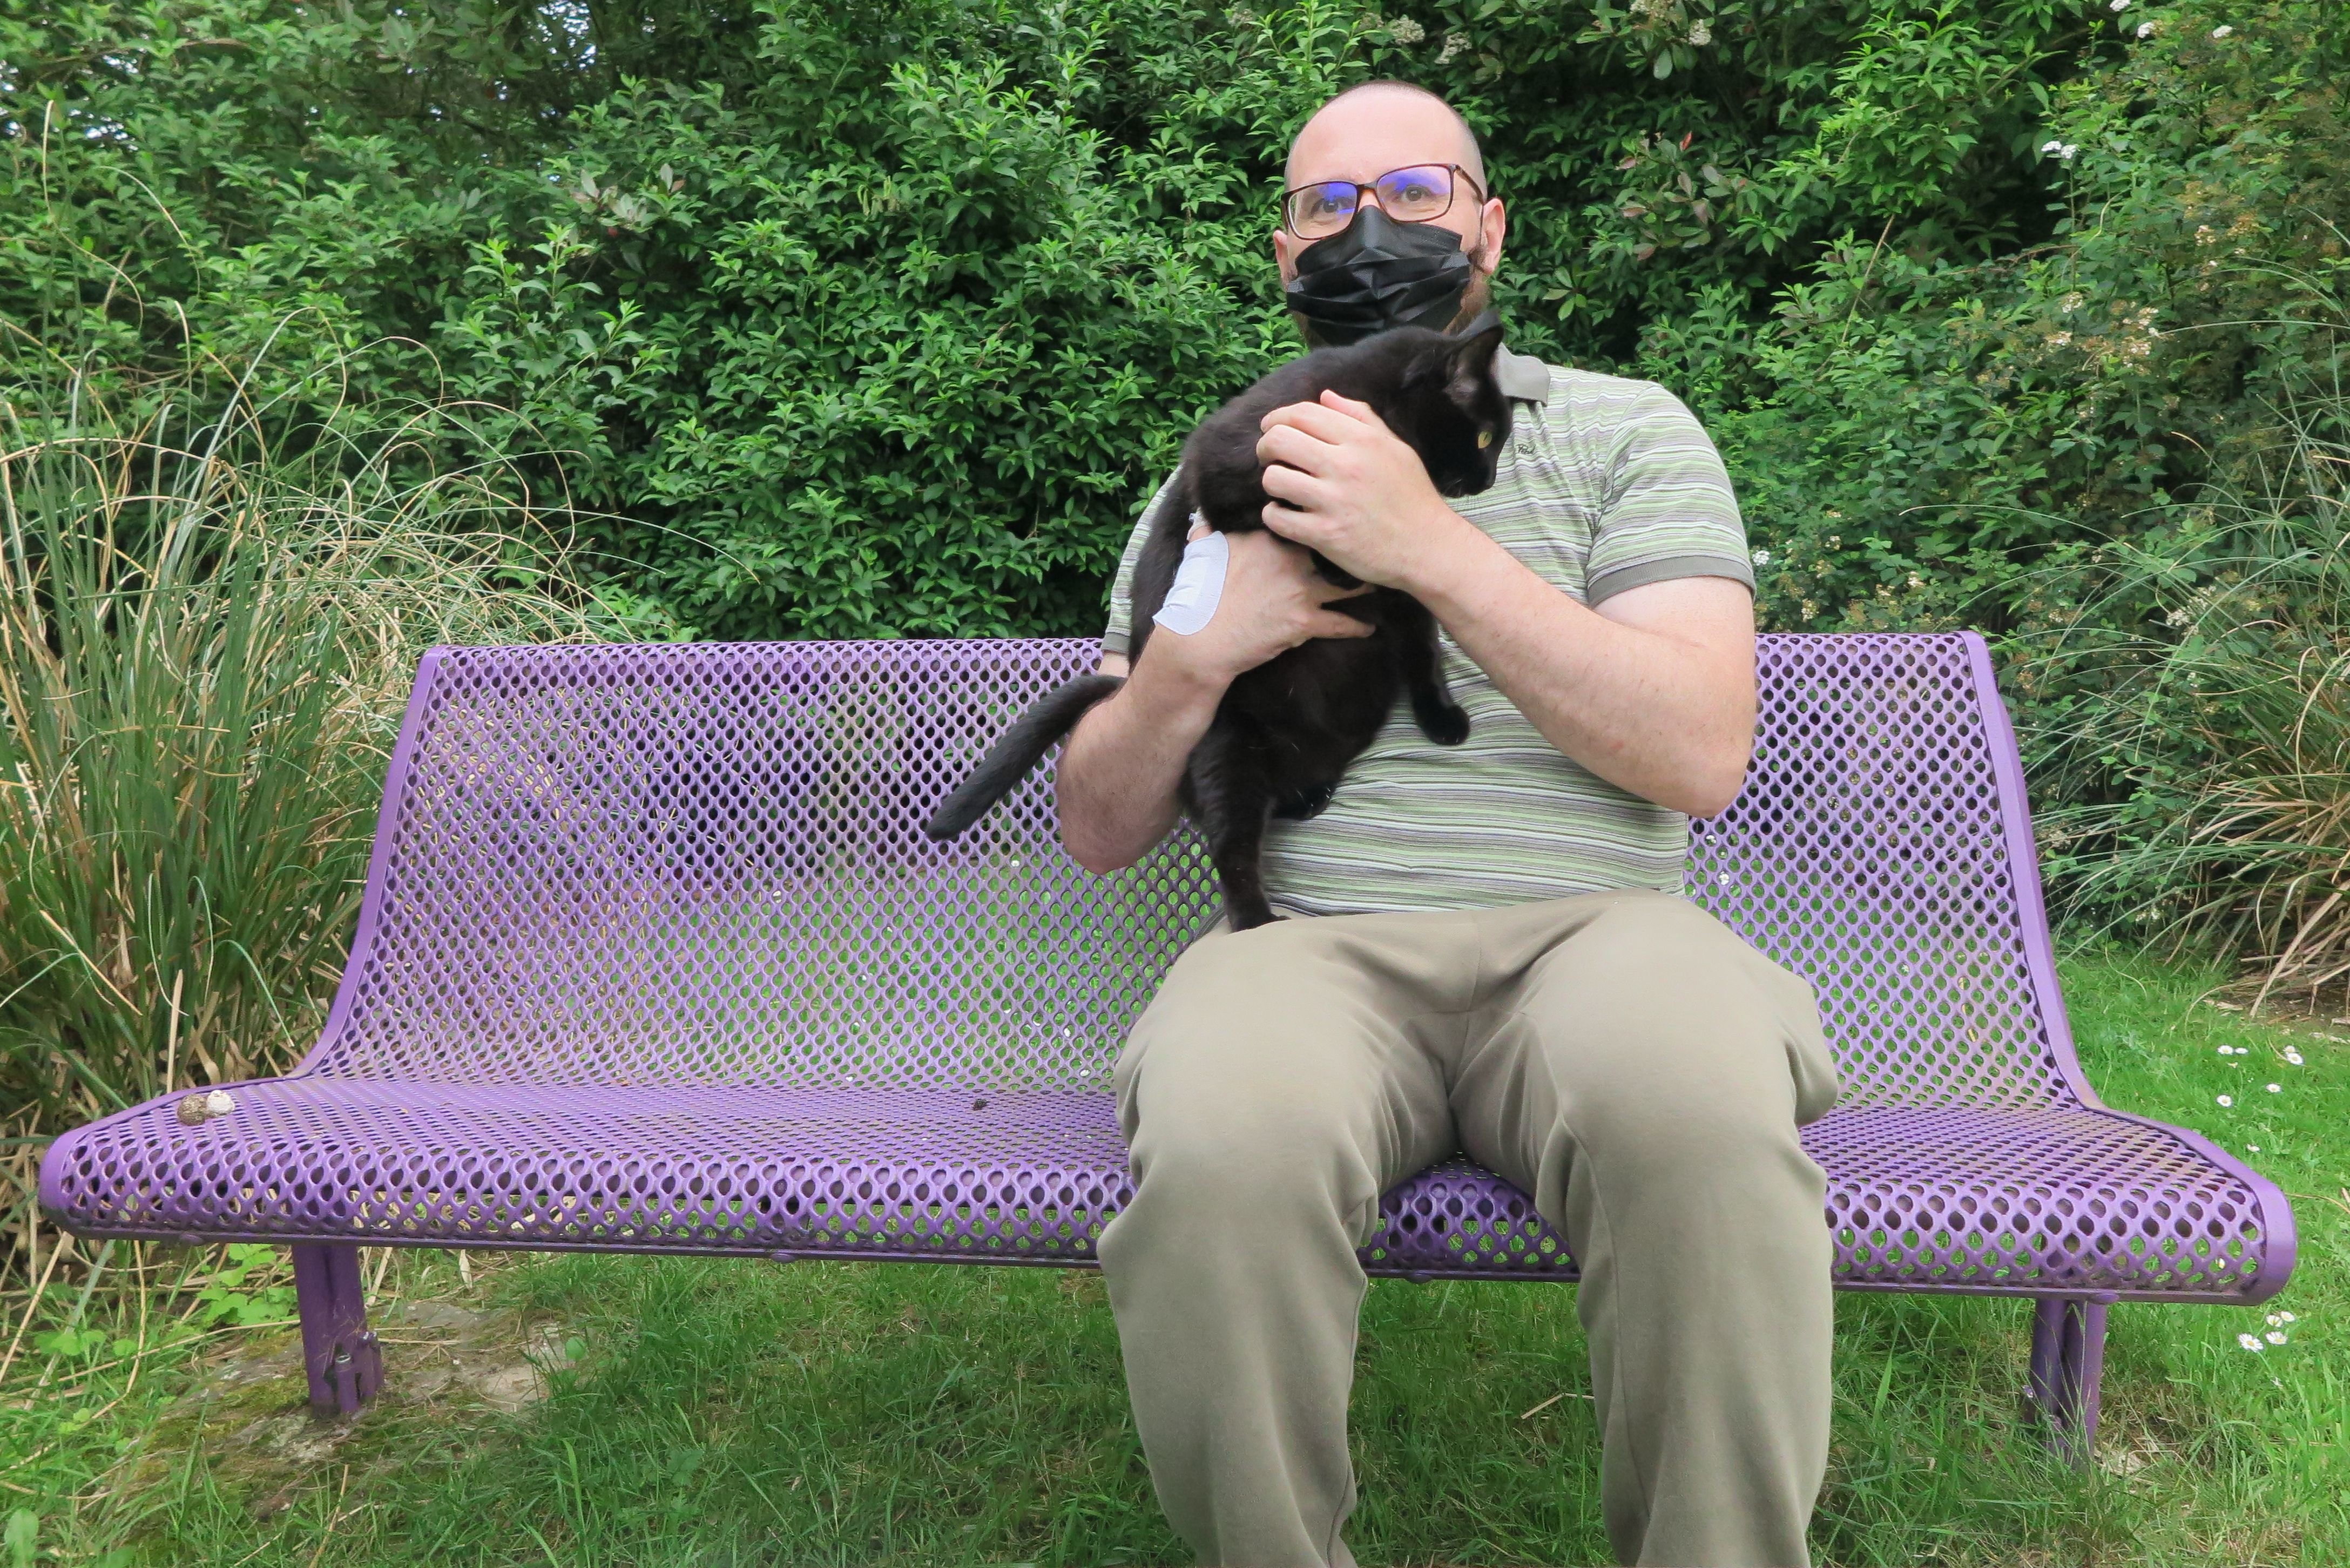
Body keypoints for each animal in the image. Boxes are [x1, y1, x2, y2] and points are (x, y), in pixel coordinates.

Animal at [916, 320, 1504, 931]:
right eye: (1485, 437)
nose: (1488, 478)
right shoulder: (1222, 473)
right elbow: (1280, 511)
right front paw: (1335, 563)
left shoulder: (1404, 577)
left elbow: (1423, 649)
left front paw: (1442, 717)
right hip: (1226, 747)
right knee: (1231, 849)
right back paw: (1259, 923)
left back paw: (1308, 798)